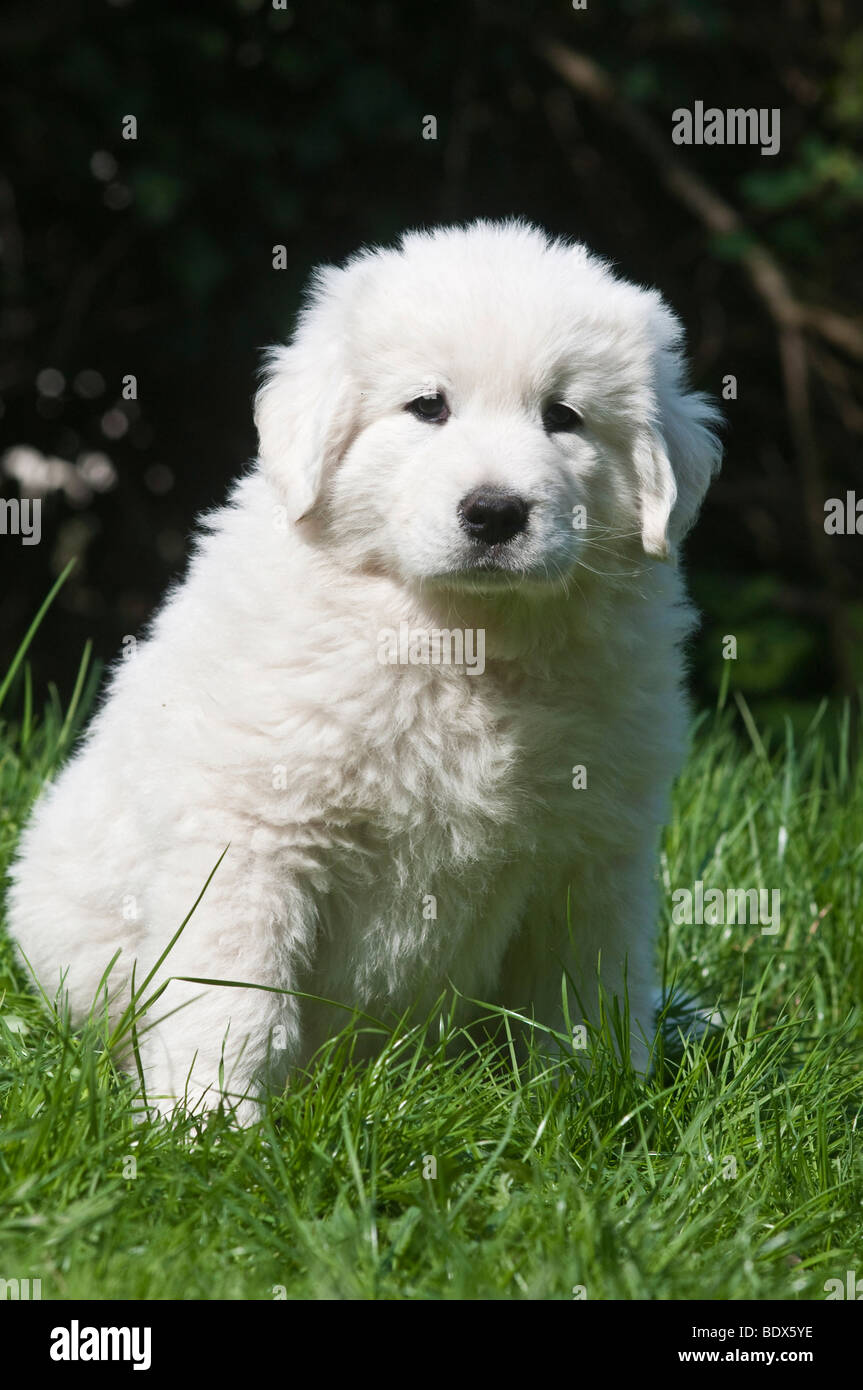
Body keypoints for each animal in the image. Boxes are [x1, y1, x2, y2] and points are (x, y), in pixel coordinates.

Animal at [6, 222, 722, 1123]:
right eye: (427, 407)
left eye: (563, 417)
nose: (495, 513)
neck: (460, 640)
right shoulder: (255, 834)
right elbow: (235, 994)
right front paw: (209, 1124)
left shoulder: (593, 853)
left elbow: (588, 989)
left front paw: (597, 1105)